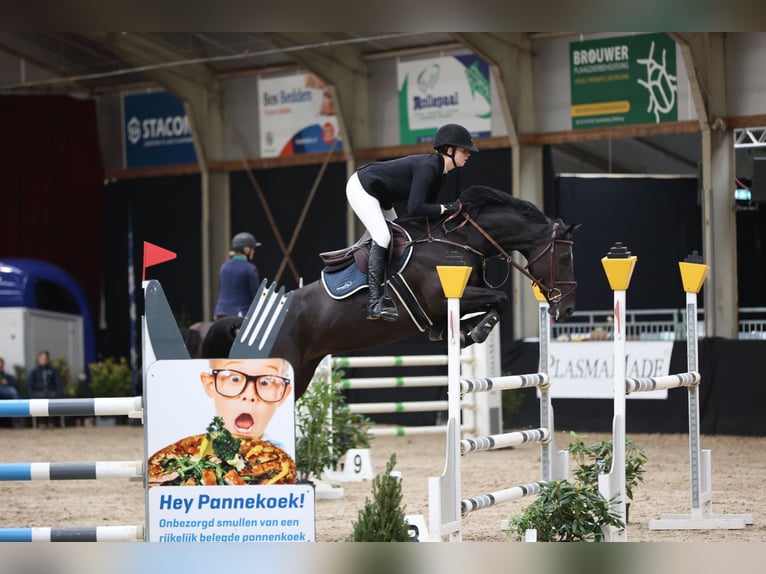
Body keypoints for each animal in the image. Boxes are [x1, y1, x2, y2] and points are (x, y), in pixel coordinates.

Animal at [201, 187, 580, 398]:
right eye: (564, 257)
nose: (567, 311)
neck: (462, 239)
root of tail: (246, 324)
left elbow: (493, 303)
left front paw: (467, 332)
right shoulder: (442, 299)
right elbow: (499, 300)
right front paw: (476, 331)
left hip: (301, 373)